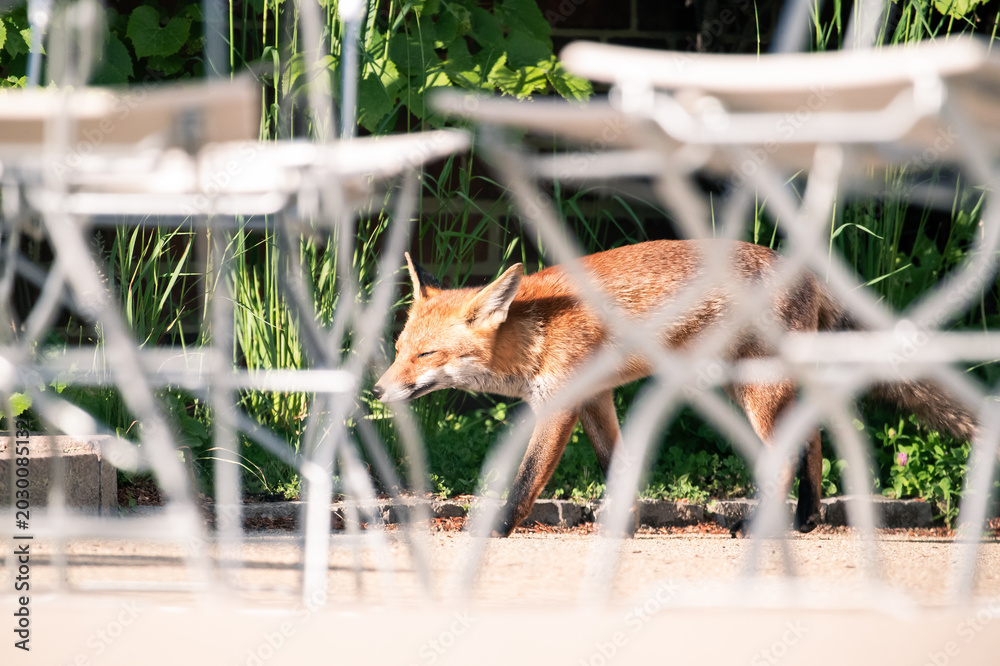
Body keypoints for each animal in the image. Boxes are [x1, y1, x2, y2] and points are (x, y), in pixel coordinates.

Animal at [373, 240, 977, 537]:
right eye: (400, 348)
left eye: (426, 355)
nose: (377, 391)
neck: (533, 330)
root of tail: (806, 272)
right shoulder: (596, 399)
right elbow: (616, 464)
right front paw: (626, 525)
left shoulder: (560, 405)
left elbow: (524, 482)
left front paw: (496, 529)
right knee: (814, 442)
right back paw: (806, 520)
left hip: (754, 391)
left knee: (786, 455)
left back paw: (762, 527)